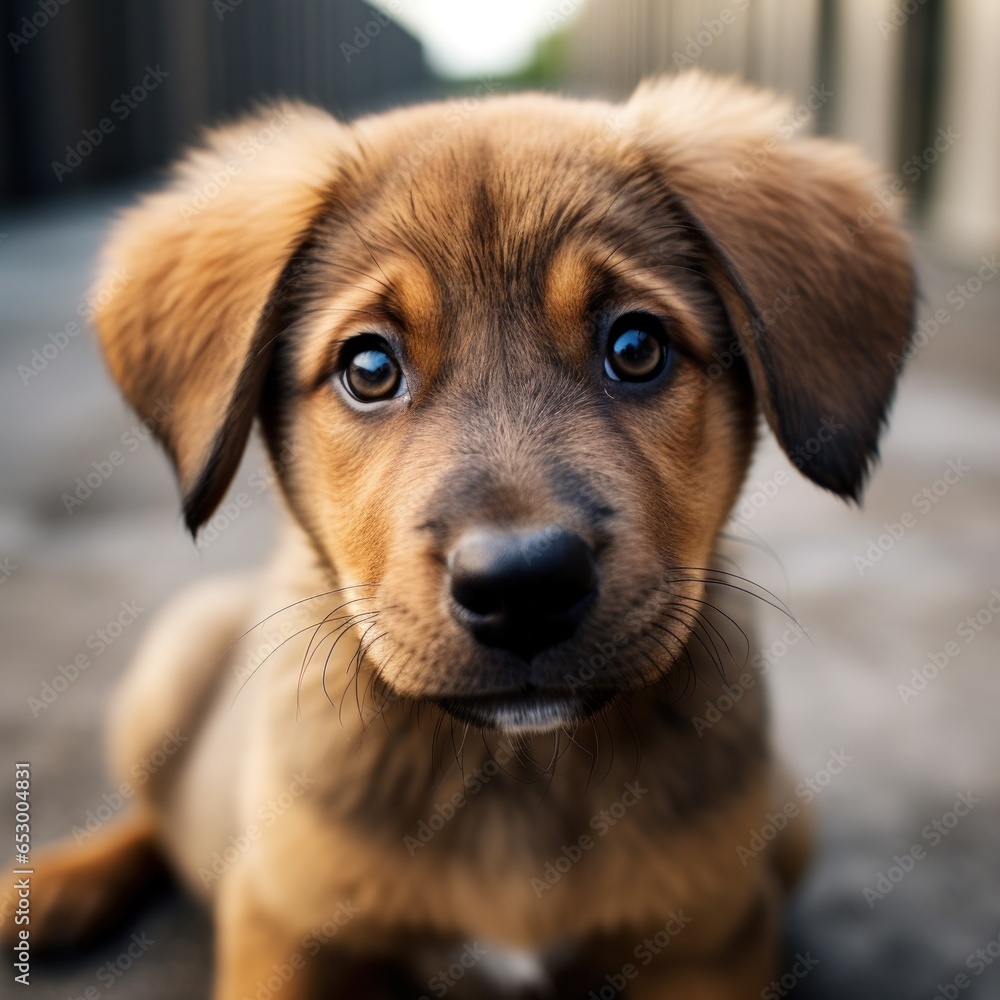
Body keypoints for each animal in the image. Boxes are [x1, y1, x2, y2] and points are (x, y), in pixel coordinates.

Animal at [19, 72, 916, 1000]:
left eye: (636, 347)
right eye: (369, 368)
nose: (524, 588)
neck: (513, 769)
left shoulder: (712, 943)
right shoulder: (282, 927)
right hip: (170, 665)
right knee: (153, 817)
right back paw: (58, 887)